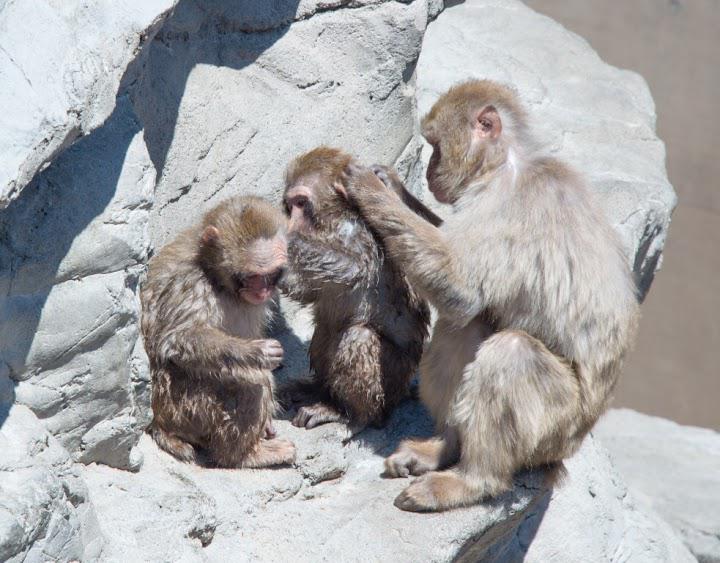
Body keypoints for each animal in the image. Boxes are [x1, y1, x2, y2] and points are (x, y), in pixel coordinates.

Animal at [141, 196, 296, 470]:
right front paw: (253, 351)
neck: (216, 278)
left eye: (270, 274)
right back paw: (244, 456)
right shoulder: (190, 282)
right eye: (252, 275)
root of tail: (159, 421)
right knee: (252, 384)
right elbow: (177, 339)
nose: (262, 290)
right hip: (184, 406)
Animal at [278, 148, 430, 434]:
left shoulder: (358, 234)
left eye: (301, 203)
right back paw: (319, 390)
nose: (292, 222)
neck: (331, 222)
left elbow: (355, 268)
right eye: (290, 205)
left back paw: (354, 415)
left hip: (393, 380)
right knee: (325, 329)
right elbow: (309, 292)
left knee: (358, 336)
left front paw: (285, 240)